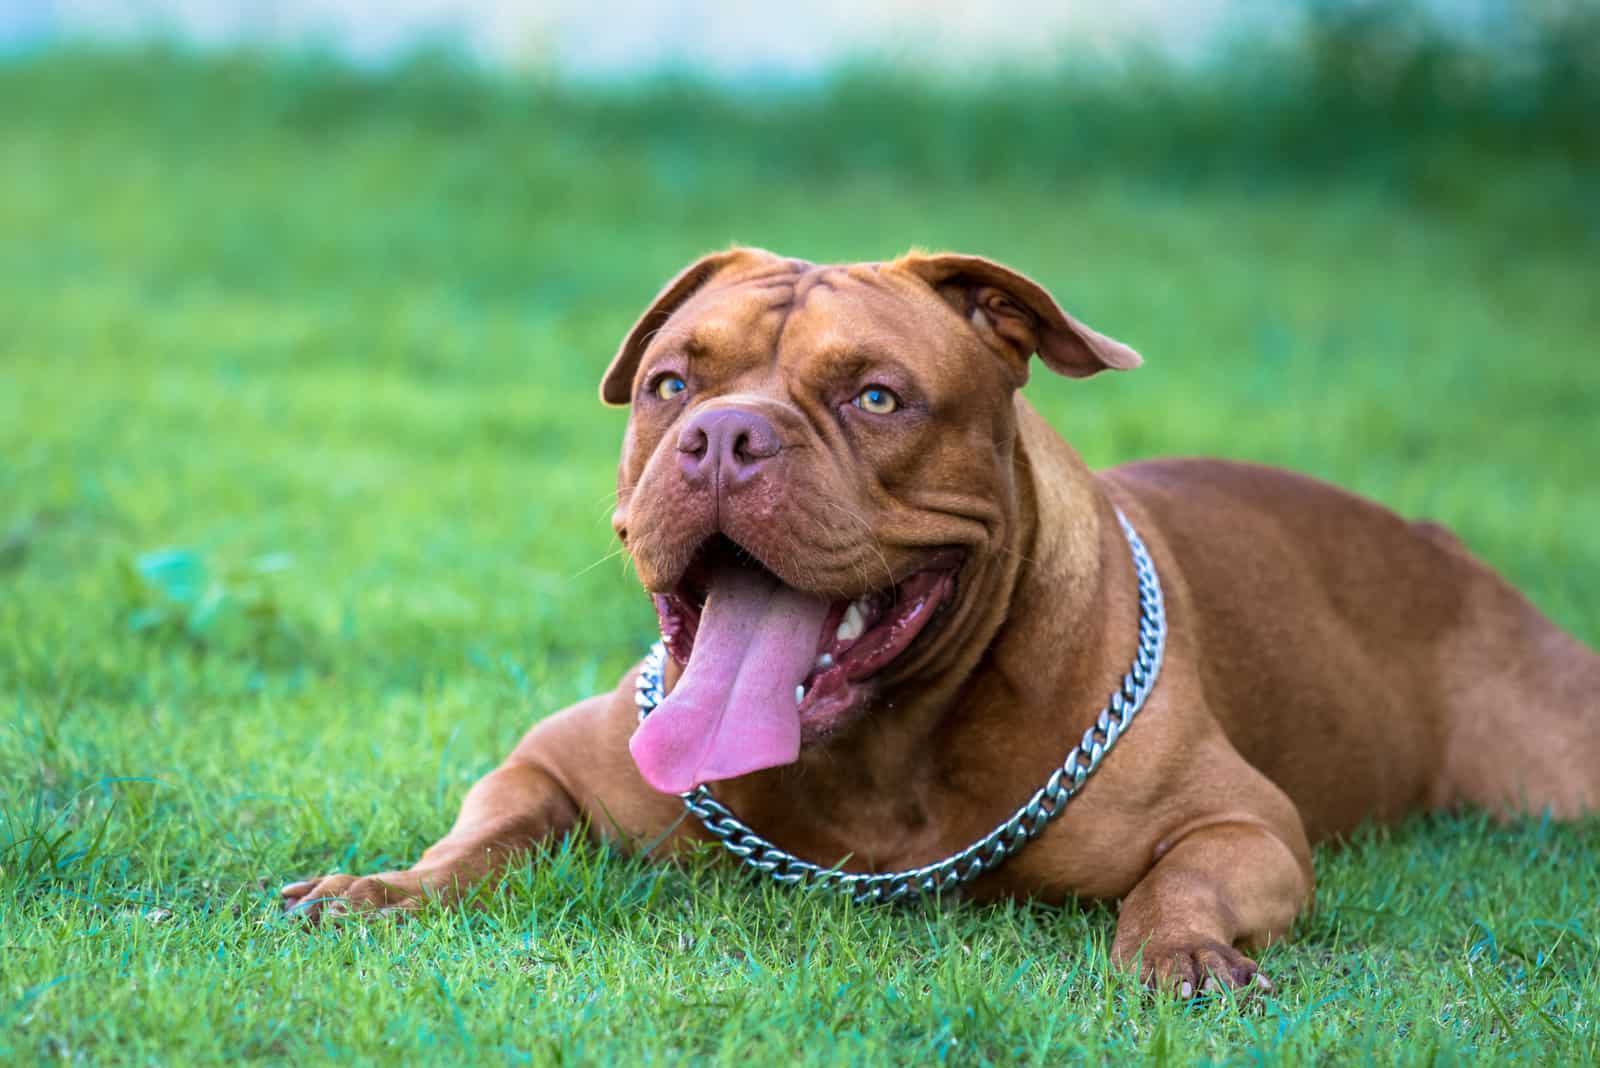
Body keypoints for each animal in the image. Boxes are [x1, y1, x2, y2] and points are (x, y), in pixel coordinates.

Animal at [284, 247, 1600, 991]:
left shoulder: (1244, 824)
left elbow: (1180, 885)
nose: (725, 435)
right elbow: (480, 839)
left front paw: (1176, 952)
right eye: (671, 383)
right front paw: (383, 889)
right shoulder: (552, 762)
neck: (871, 754)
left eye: (876, 398)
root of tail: (1442, 546)